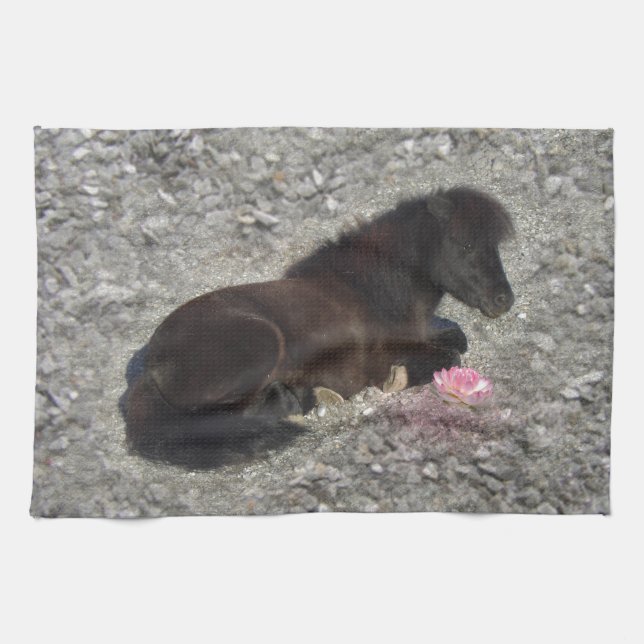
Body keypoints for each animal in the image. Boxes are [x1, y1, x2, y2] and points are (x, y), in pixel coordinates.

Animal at [124, 187, 515, 467]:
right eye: (465, 244)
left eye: (494, 245)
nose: (504, 300)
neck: (368, 289)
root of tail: (149, 369)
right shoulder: (379, 356)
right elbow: (448, 354)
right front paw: (396, 379)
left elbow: (456, 339)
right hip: (263, 347)